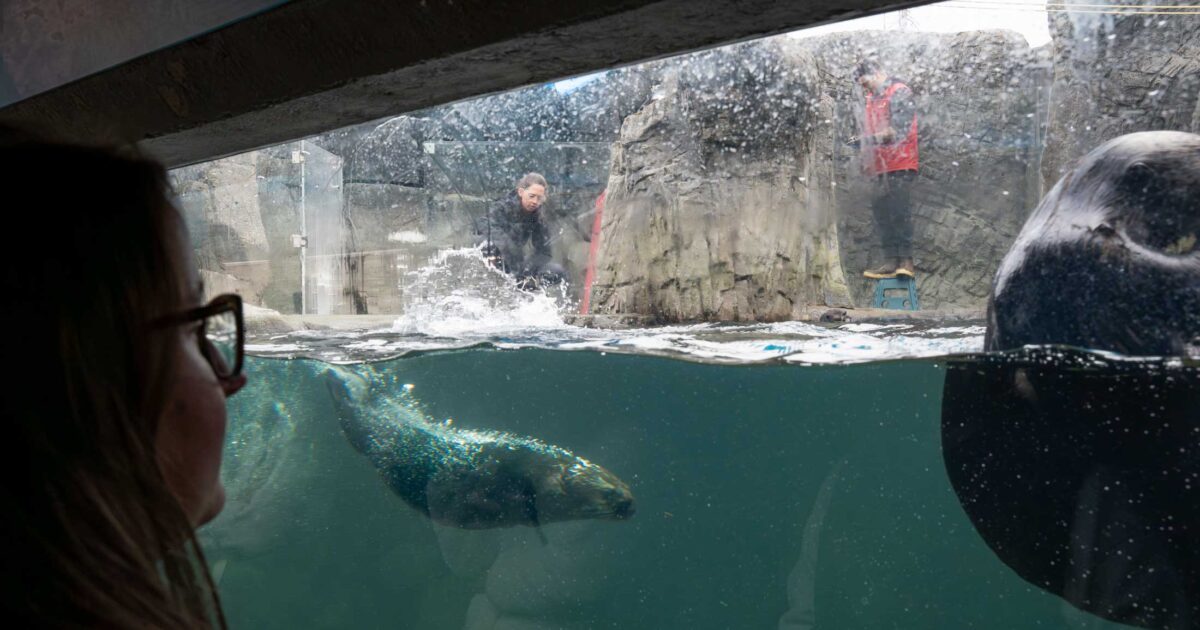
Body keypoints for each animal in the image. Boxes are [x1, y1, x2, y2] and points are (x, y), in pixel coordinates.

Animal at [322, 366, 635, 531]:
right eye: (609, 493)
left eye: (625, 486)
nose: (631, 503)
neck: (538, 473)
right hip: (380, 436)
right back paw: (338, 376)